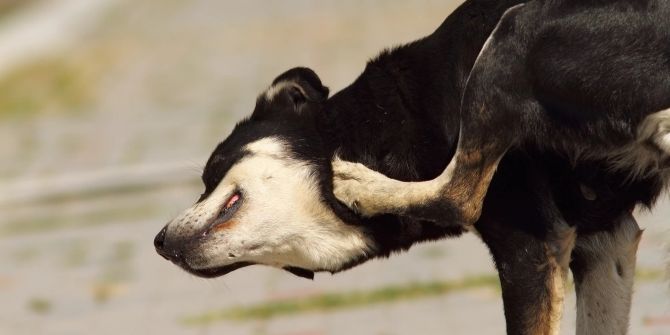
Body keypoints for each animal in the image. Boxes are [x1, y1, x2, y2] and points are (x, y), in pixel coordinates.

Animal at [154, 1, 670, 334]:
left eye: (210, 173)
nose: (158, 243)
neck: (390, 120)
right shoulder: (605, 243)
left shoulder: (532, 247)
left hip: (514, 32)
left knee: (457, 197)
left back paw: (362, 185)